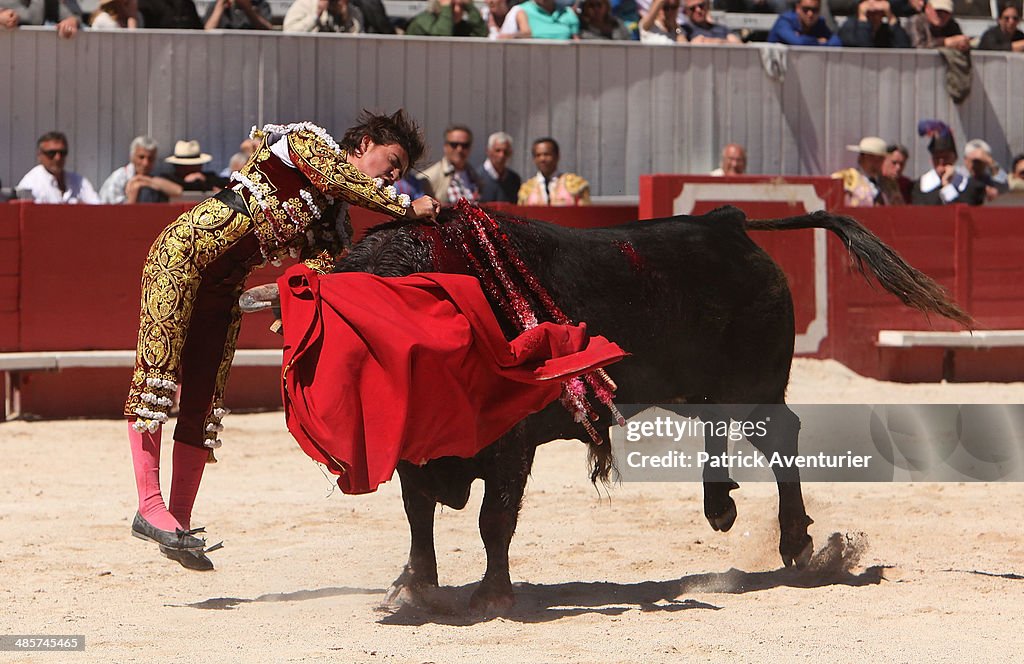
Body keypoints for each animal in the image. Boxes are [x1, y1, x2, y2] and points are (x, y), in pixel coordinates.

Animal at [311, 204, 966, 610]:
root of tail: (726, 223)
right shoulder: (413, 454)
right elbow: (418, 516)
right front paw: (414, 587)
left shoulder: (511, 445)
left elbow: (493, 518)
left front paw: (490, 596)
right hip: (696, 389)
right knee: (721, 425)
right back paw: (721, 506)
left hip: (753, 385)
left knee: (781, 437)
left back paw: (795, 545)